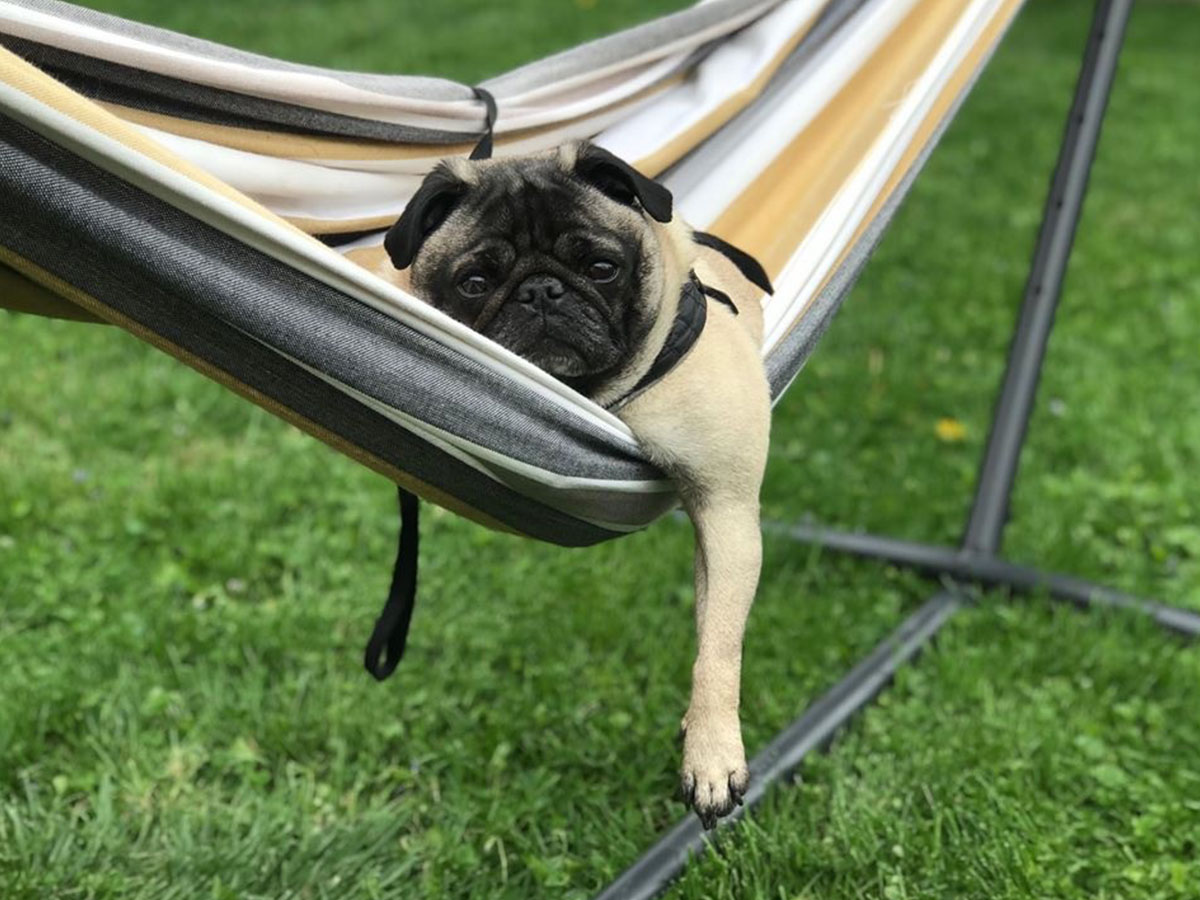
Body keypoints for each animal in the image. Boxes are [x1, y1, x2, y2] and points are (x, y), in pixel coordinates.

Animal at [350, 142, 772, 830]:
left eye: (602, 268)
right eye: (475, 283)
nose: (540, 292)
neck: (602, 397)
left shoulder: (726, 511)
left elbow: (718, 650)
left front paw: (710, 752)